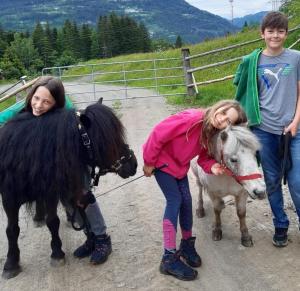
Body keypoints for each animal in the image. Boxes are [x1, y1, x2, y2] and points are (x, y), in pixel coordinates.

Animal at [0, 101, 138, 280]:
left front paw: (57, 254)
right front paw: (11, 263)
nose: (133, 164)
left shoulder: (50, 192)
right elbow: (11, 230)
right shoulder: (8, 198)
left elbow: (53, 221)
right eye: (106, 141)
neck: (24, 160)